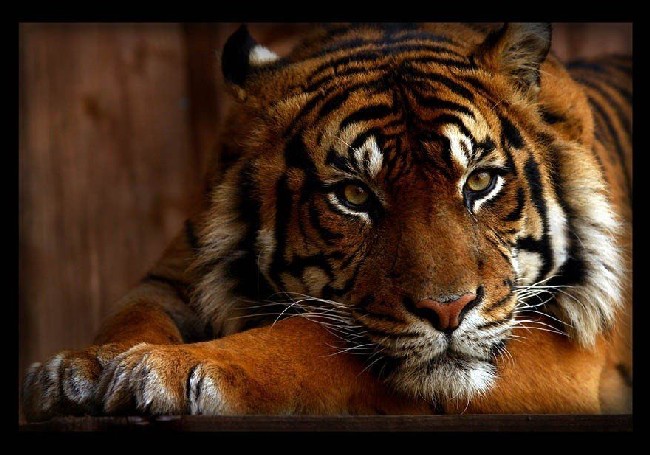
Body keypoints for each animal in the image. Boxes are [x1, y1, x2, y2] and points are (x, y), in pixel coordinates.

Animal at [22, 22, 632, 420]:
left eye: (480, 183)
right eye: (354, 195)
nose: (449, 310)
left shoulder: (566, 349)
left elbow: (312, 339)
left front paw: (168, 371)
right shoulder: (174, 276)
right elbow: (130, 318)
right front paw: (79, 371)